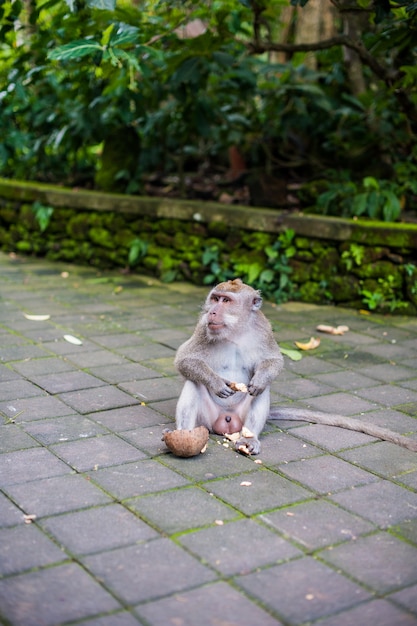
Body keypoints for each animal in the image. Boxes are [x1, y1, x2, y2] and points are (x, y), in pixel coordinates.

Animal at [174, 278, 416, 454]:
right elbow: (183, 360)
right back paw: (184, 435)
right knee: (193, 383)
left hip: (239, 418)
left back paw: (250, 438)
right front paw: (215, 383)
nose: (212, 311)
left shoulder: (264, 329)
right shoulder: (203, 327)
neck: (235, 332)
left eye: (226, 301)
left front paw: (260, 380)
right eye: (215, 298)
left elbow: (273, 362)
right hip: (206, 420)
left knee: (262, 392)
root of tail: (226, 422)